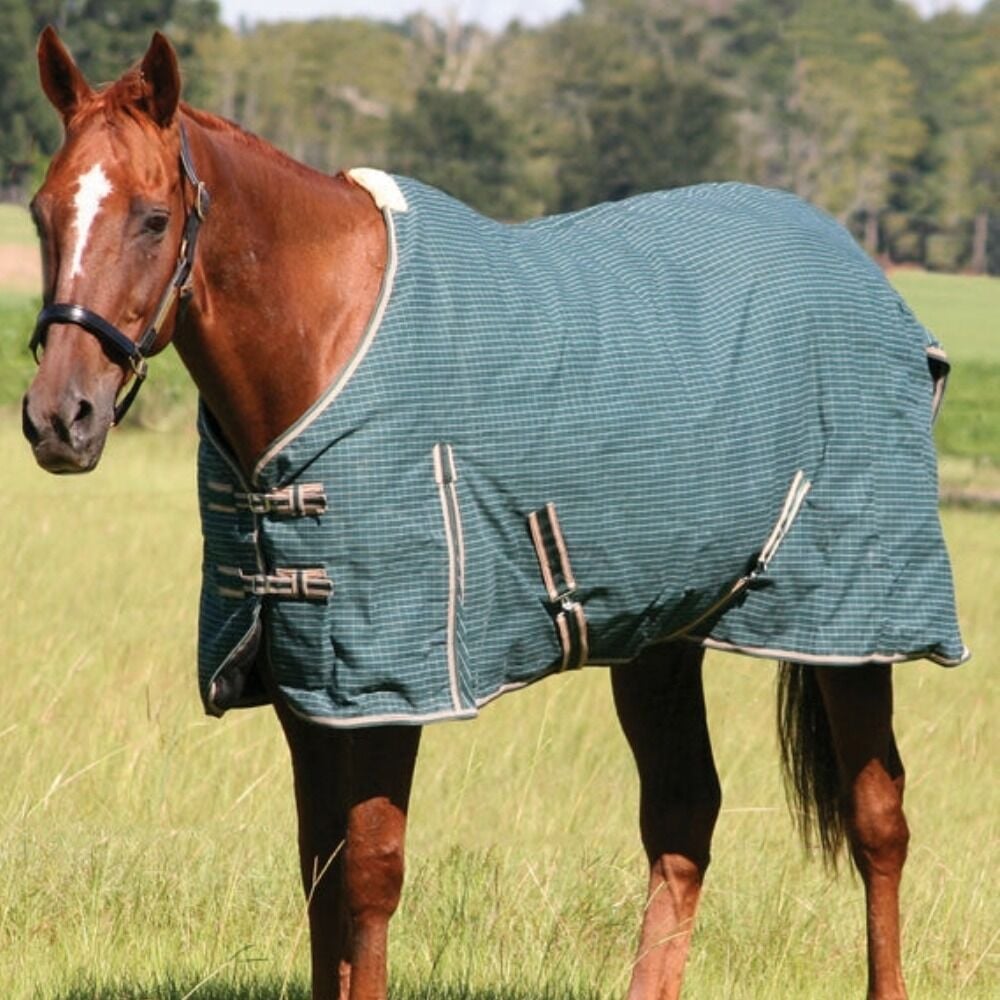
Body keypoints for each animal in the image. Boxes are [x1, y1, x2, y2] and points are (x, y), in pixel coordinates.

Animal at [21, 28, 966, 1000]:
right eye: (42, 212)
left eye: (152, 218)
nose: (60, 418)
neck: (329, 340)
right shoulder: (306, 683)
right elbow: (321, 873)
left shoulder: (390, 683)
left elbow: (370, 874)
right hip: (661, 635)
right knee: (682, 816)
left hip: (857, 627)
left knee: (877, 819)